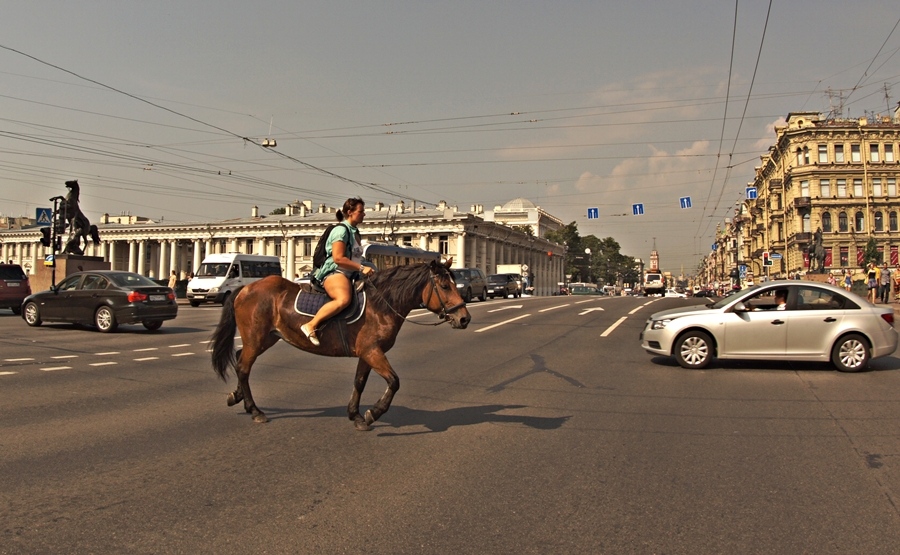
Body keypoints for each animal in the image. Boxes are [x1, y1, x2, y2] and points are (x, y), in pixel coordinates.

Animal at [210, 258, 472, 432]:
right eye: (445, 286)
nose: (465, 319)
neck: (381, 304)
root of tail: (246, 288)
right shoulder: (372, 352)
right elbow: (394, 382)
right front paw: (373, 413)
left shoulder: (367, 354)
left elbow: (359, 382)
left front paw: (356, 415)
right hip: (257, 339)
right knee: (243, 367)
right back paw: (255, 411)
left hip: (266, 338)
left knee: (240, 358)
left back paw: (236, 397)